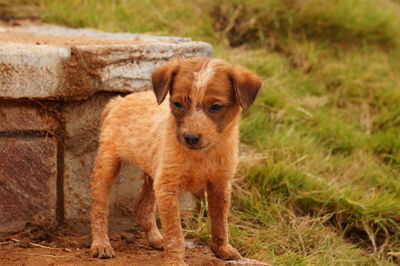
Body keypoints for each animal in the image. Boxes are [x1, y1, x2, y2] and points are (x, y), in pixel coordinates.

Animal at [89, 57, 260, 264]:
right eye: (177, 103)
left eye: (216, 107)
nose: (191, 138)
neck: (203, 154)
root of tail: (118, 101)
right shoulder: (167, 187)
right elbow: (175, 233)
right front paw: (175, 261)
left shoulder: (220, 184)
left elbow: (220, 222)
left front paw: (222, 249)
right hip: (108, 162)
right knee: (99, 207)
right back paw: (101, 244)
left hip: (152, 173)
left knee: (142, 207)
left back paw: (156, 239)